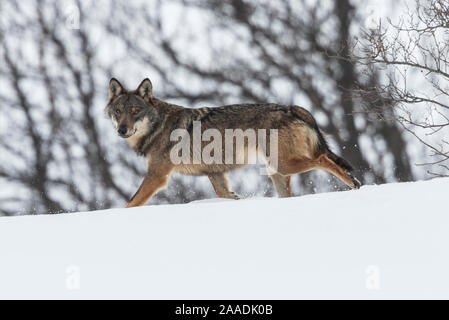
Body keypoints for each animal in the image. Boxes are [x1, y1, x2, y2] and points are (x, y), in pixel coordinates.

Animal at [104, 78, 360, 208]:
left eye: (135, 111)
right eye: (118, 111)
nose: (122, 130)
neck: (158, 126)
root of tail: (292, 107)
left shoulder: (157, 176)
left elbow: (131, 203)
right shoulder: (215, 173)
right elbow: (225, 194)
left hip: (283, 165)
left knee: (324, 159)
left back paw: (354, 185)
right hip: (276, 171)